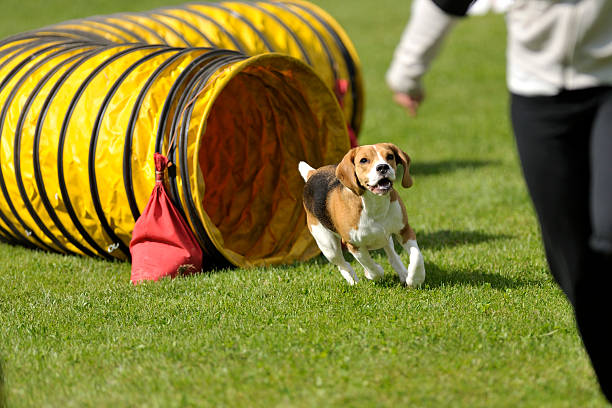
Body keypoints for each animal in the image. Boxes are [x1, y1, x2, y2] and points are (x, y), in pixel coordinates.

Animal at [298, 143, 424, 286]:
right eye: (363, 160)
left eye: (390, 156)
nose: (383, 167)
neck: (375, 204)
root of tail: (313, 173)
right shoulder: (355, 246)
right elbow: (371, 266)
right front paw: (372, 273)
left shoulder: (404, 230)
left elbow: (417, 256)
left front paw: (415, 279)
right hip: (328, 246)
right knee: (342, 264)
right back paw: (352, 280)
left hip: (386, 237)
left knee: (392, 255)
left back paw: (403, 273)